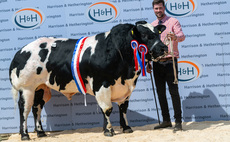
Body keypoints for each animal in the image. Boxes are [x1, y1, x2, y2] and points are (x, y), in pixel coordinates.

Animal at [9, 20, 167, 140]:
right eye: (145, 35)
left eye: (158, 33)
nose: (163, 48)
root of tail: (20, 52)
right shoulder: (101, 84)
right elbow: (107, 108)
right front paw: (109, 131)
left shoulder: (126, 88)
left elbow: (123, 108)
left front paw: (126, 128)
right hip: (27, 88)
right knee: (24, 109)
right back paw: (25, 135)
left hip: (41, 88)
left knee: (37, 108)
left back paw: (41, 133)